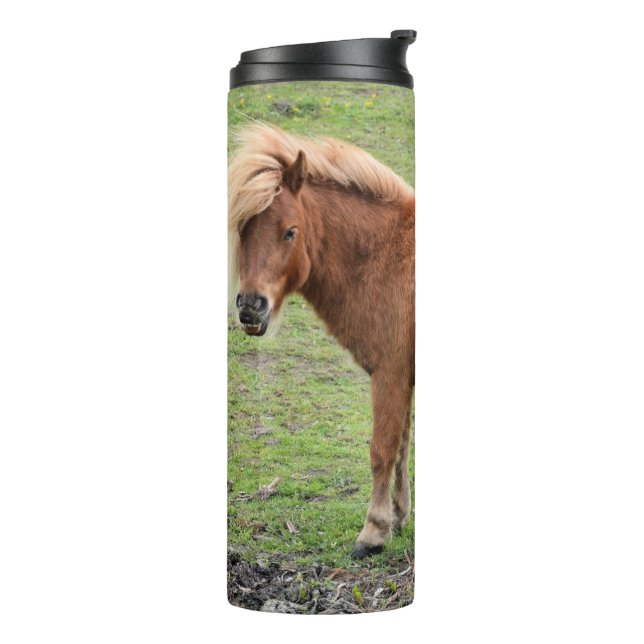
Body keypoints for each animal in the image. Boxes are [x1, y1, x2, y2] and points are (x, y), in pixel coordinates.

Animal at [228, 124, 415, 559]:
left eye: (289, 232)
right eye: (243, 228)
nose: (251, 309)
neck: (386, 256)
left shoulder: (390, 373)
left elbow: (382, 449)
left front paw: (373, 531)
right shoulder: (404, 378)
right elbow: (401, 447)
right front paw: (398, 517)